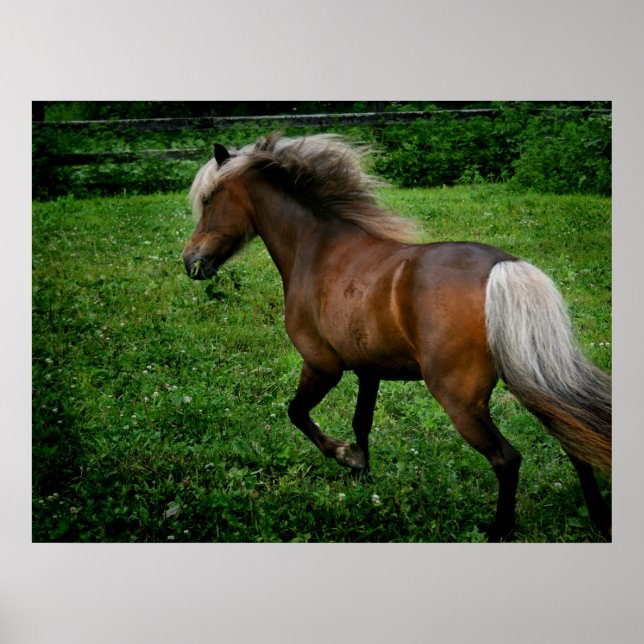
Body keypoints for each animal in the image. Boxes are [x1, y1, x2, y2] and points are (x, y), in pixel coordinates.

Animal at [181, 133, 611, 541]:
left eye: (209, 199)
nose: (190, 261)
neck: (316, 249)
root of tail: (505, 267)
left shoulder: (322, 365)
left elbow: (297, 413)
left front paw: (347, 457)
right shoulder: (367, 370)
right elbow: (361, 422)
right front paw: (364, 477)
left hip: (461, 399)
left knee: (508, 458)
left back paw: (499, 530)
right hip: (530, 375)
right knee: (575, 439)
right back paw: (598, 520)